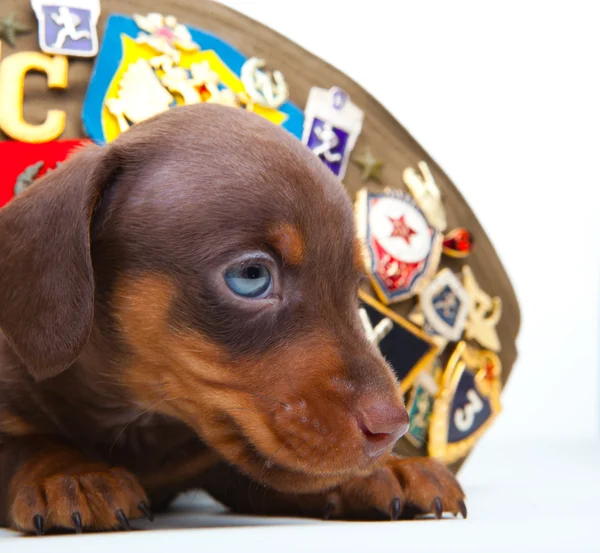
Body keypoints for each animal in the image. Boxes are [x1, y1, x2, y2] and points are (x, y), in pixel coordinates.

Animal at [0, 103, 464, 536]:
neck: (133, 415)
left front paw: (387, 469)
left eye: (354, 286)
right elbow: (29, 444)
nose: (393, 430)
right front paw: (72, 474)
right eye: (251, 276)